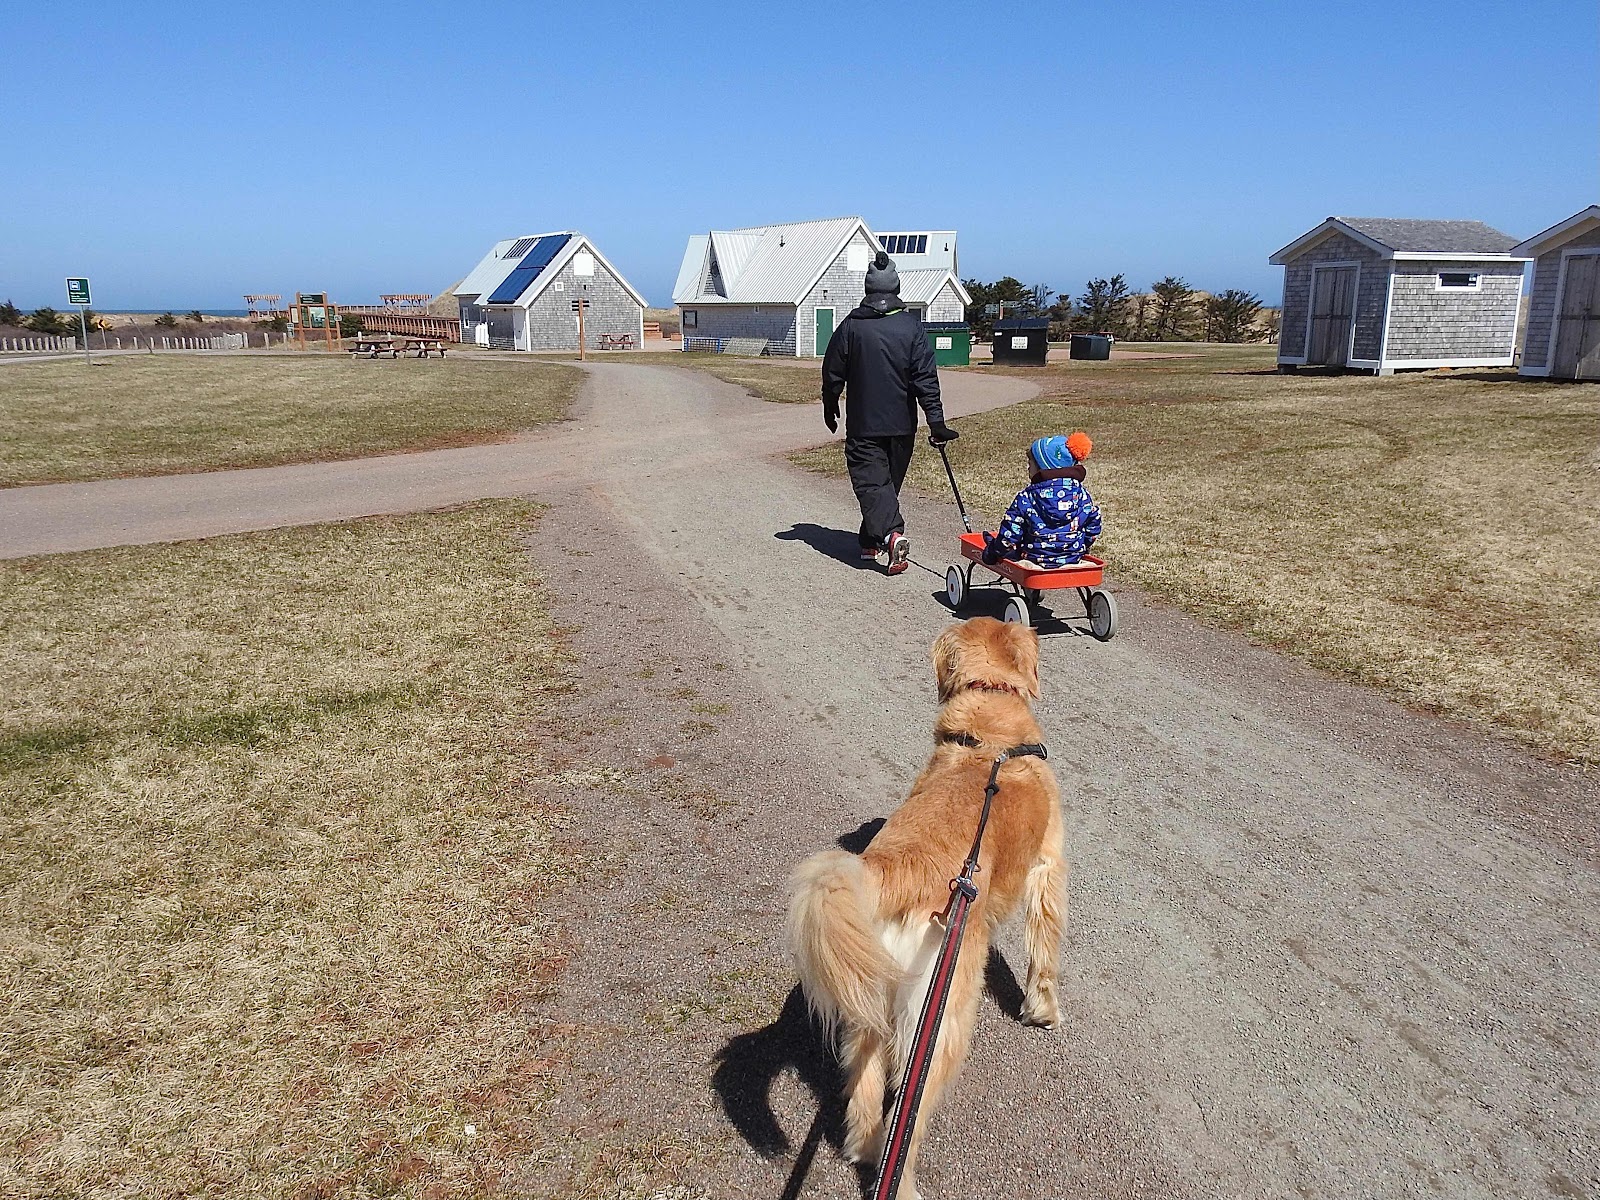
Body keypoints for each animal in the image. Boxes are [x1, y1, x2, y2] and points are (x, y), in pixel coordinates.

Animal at [786, 616, 1066, 1197]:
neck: (990, 730)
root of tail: (897, 867)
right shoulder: (1049, 866)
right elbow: (1045, 954)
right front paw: (1043, 1011)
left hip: (870, 1005)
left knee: (866, 1099)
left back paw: (869, 1150)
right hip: (941, 1024)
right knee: (907, 1117)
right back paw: (903, 1181)